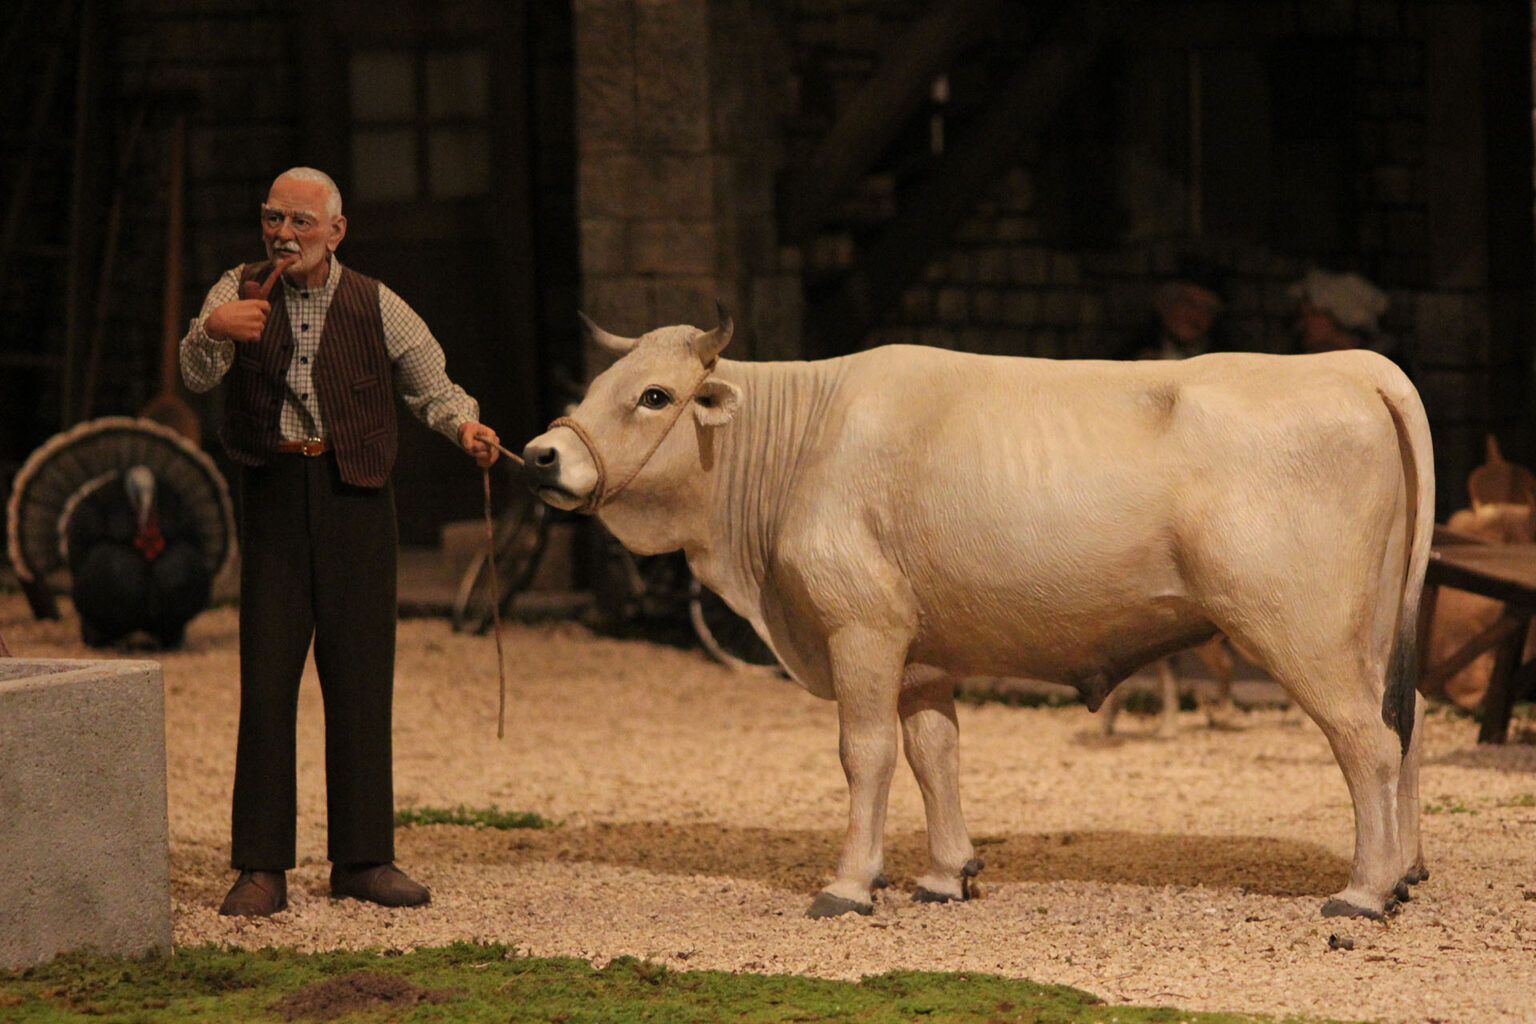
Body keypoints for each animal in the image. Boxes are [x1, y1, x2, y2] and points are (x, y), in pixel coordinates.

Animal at [521, 308, 1434, 921]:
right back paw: (1405, 872)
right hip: (1370, 631)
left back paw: (1363, 891)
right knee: (1407, 728)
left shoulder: (860, 629)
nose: (540, 454)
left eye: (653, 395)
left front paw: (849, 885)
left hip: (1301, 630)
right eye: (594, 387)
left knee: (1367, 743)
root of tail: (1350, 366)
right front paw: (944, 874)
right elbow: (936, 755)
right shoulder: (923, 653)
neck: (804, 442)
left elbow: (866, 754)